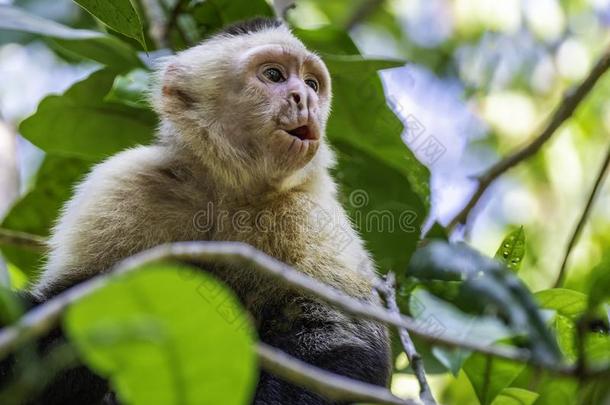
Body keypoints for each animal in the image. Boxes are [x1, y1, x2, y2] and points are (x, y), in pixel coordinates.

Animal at [9, 16, 390, 404]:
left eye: (312, 84)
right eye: (274, 75)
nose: (305, 98)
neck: (230, 188)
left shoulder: (309, 211)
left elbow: (344, 339)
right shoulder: (125, 182)